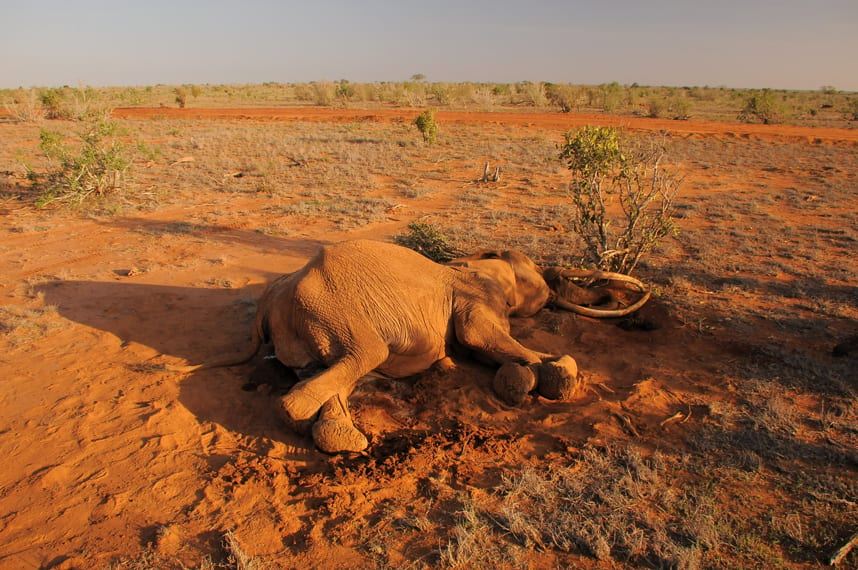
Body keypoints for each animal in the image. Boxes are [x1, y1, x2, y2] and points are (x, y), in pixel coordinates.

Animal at [174, 237, 644, 450]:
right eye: (542, 283)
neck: (468, 264)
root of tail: (269, 301)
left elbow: (482, 347)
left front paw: (517, 380)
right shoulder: (473, 298)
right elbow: (483, 336)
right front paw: (556, 373)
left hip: (312, 328)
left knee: (330, 370)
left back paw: (336, 433)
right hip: (335, 310)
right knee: (361, 357)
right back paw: (333, 434)